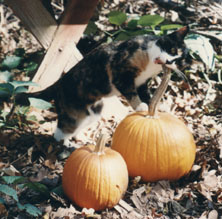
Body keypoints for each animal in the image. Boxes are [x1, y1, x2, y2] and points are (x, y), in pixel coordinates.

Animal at [16, 25, 191, 146]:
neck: (149, 63)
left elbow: (148, 96)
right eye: (172, 49)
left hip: (92, 112)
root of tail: (58, 84)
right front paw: (140, 107)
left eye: (178, 62)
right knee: (60, 132)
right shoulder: (120, 73)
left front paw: (155, 107)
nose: (168, 61)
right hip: (72, 114)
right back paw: (67, 145)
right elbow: (131, 93)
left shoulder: (142, 83)